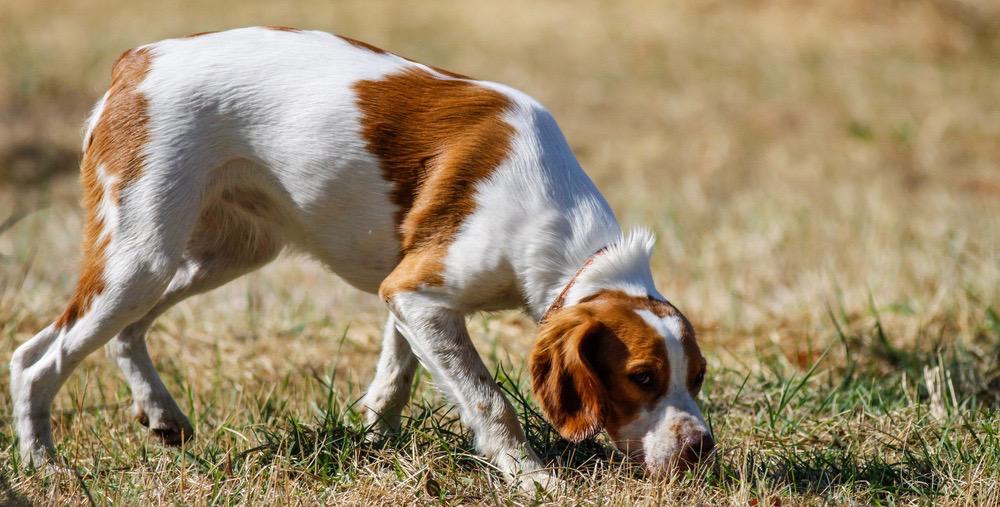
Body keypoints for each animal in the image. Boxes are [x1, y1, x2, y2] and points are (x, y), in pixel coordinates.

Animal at [7, 26, 712, 488]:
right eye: (642, 377)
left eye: (698, 377)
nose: (701, 449)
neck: (564, 232)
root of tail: (137, 61)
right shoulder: (420, 292)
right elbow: (489, 400)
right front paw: (531, 478)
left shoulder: (408, 293)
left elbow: (397, 376)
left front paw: (374, 440)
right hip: (142, 254)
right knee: (34, 359)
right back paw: (44, 465)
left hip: (222, 253)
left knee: (117, 332)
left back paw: (160, 414)